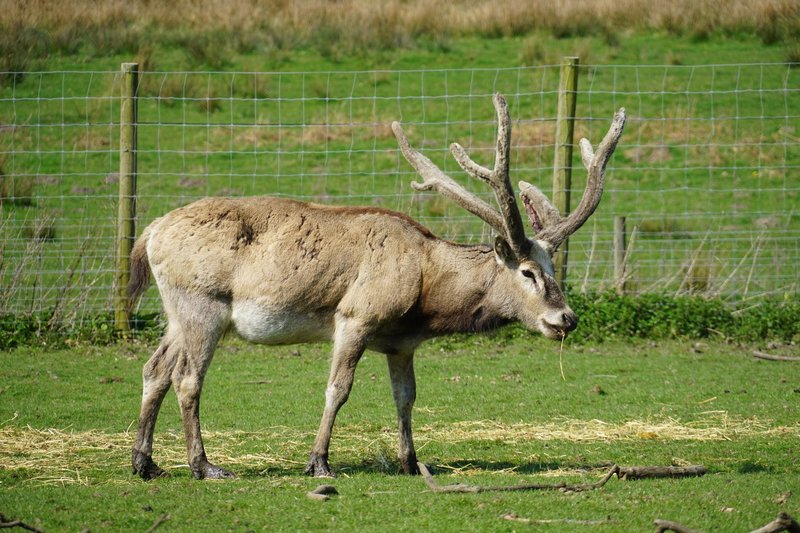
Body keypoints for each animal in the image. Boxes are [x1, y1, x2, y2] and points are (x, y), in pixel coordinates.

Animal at [127, 93, 626, 480]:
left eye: (553, 268)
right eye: (527, 272)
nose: (565, 318)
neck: (424, 294)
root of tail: (149, 233)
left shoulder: (402, 343)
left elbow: (406, 397)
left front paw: (411, 461)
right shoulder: (355, 316)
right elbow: (338, 389)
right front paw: (319, 462)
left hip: (176, 312)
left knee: (154, 368)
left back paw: (145, 463)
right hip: (203, 305)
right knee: (187, 377)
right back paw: (204, 466)